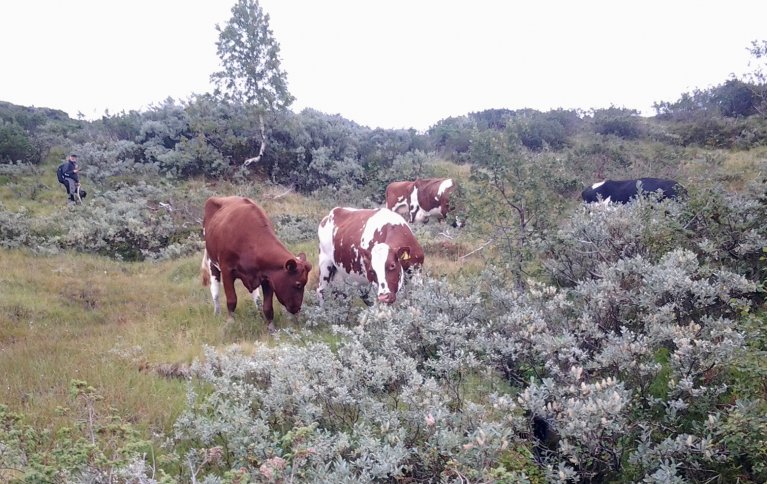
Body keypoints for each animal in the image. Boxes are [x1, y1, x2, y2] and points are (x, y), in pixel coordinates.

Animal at [204, 195, 316, 330]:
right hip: (211, 261)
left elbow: (267, 307)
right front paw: (231, 322)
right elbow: (232, 299)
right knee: (215, 291)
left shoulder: (267, 277)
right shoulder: (227, 270)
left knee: (256, 297)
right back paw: (217, 312)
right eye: (298, 284)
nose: (297, 309)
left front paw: (271, 328)